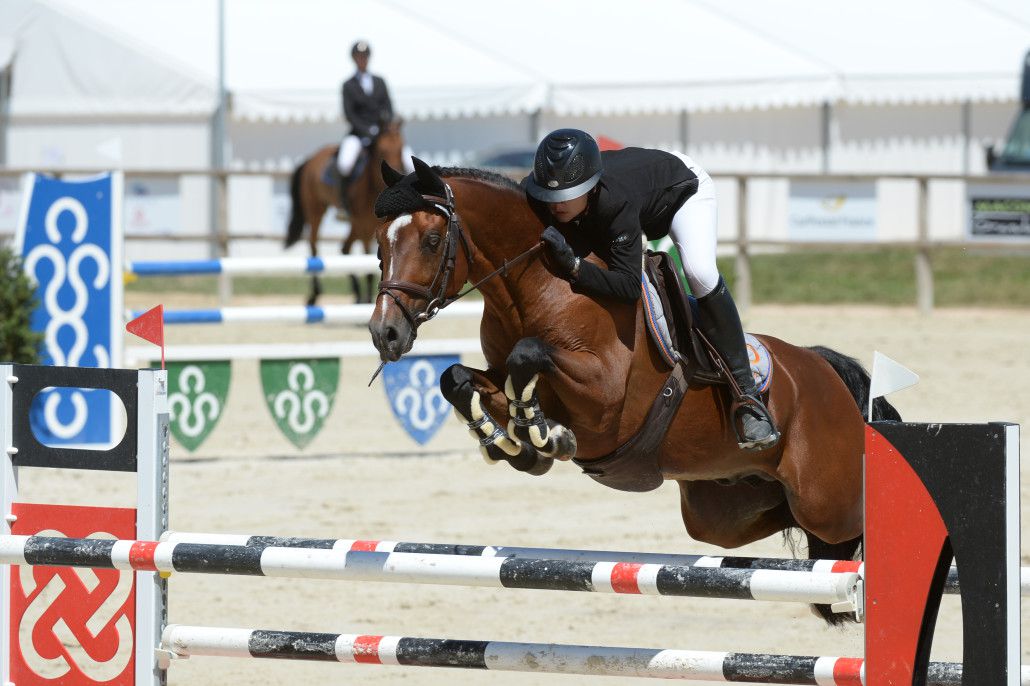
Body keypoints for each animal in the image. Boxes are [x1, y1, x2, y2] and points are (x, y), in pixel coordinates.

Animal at [285, 119, 406, 306]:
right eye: (382, 151)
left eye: (401, 148)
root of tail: (313, 157)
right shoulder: (365, 227)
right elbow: (368, 265)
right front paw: (369, 300)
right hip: (316, 210)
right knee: (314, 246)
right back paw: (315, 295)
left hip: (353, 223)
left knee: (344, 249)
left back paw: (356, 295)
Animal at [368, 158, 900, 623]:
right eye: (379, 244)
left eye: (432, 240)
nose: (385, 334)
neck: (539, 287)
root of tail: (826, 370)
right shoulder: (504, 376)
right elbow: (458, 378)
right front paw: (513, 443)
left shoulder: (604, 398)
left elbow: (529, 356)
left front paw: (542, 435)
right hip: (720, 511)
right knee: (785, 526)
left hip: (826, 500)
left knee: (850, 524)